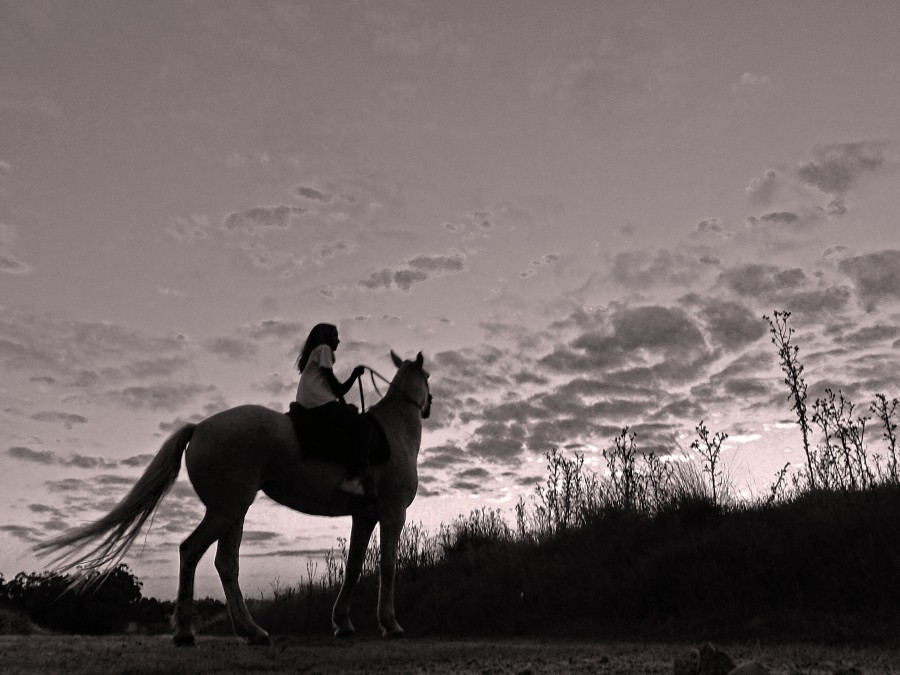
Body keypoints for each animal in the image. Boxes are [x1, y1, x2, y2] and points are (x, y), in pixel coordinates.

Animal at [34, 352, 428, 648]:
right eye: (427, 378)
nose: (427, 406)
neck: (394, 431)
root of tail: (199, 428)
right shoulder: (392, 512)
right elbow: (388, 565)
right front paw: (391, 625)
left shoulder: (364, 515)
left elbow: (354, 566)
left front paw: (343, 624)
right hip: (227, 510)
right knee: (193, 551)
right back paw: (192, 632)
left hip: (233, 511)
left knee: (225, 563)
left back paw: (245, 631)